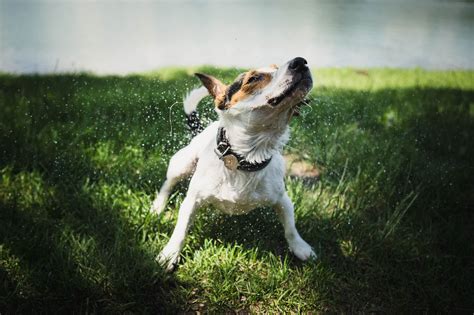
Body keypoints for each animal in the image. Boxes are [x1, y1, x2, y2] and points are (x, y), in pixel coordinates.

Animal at [152, 56, 314, 272]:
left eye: (276, 67)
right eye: (253, 78)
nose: (301, 61)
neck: (245, 158)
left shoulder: (283, 200)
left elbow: (290, 228)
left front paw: (300, 247)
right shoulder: (191, 201)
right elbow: (180, 230)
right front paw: (169, 254)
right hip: (182, 163)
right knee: (168, 184)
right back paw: (158, 206)